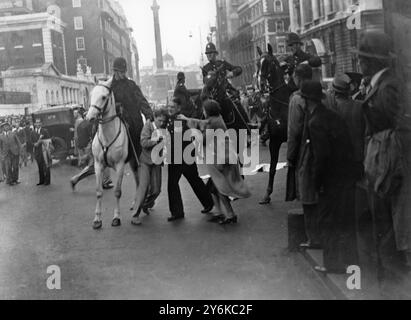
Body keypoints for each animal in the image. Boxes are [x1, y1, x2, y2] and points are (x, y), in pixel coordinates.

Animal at [86, 79, 131, 230]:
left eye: (104, 97)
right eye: (91, 94)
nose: (89, 117)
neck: (107, 135)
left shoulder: (120, 165)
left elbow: (117, 192)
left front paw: (116, 217)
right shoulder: (98, 165)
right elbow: (99, 192)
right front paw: (97, 219)